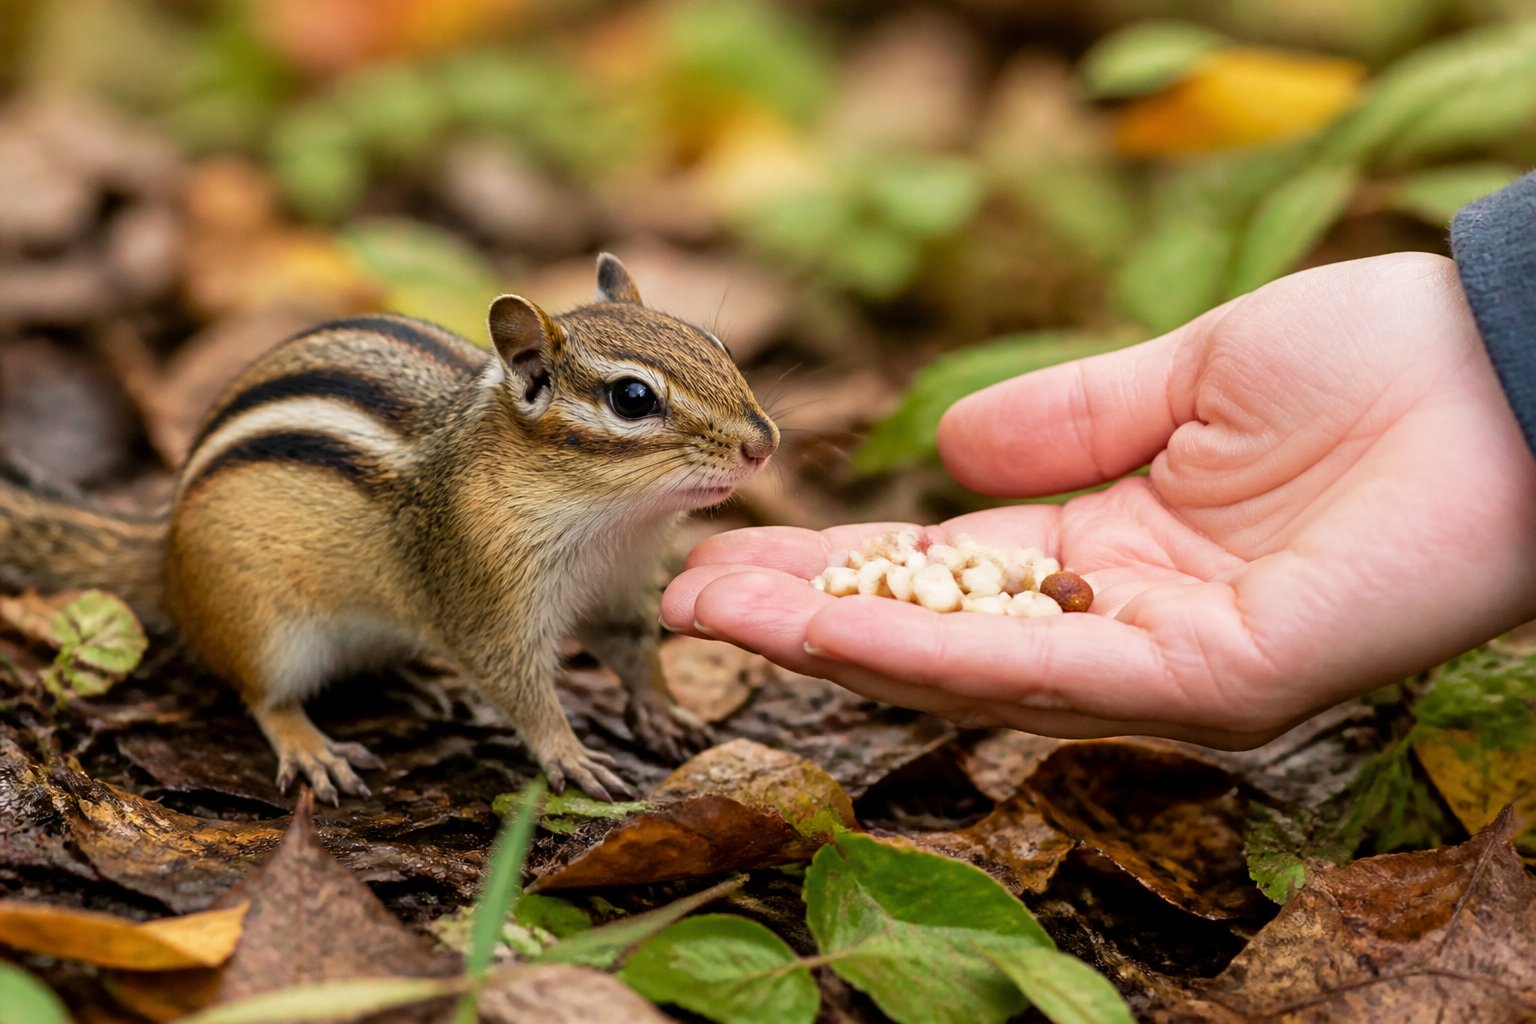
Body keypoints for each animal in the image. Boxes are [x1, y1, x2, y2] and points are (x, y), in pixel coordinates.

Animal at [0, 254, 779, 804]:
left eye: (713, 343)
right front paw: (569, 752)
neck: (611, 519)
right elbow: (519, 687)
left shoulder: (621, 586)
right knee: (264, 696)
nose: (763, 444)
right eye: (633, 398)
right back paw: (310, 745)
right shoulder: (484, 596)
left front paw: (664, 709)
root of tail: (164, 557)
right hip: (260, 624)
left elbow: (636, 654)